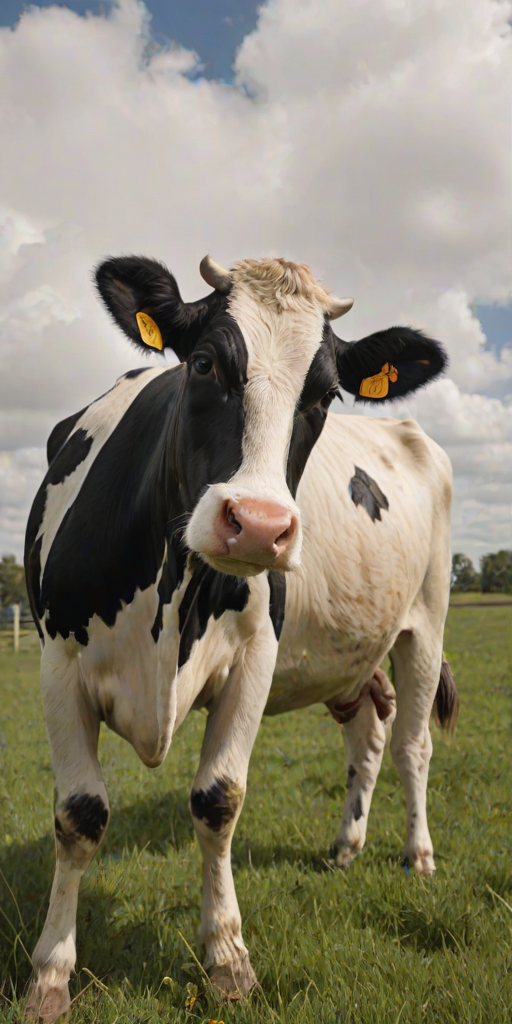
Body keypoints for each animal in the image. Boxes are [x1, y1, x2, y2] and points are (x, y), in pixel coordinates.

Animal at [23, 253, 448, 1021]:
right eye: (202, 364)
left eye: (326, 395)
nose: (257, 525)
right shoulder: (57, 663)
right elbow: (79, 814)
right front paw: (50, 973)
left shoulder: (256, 658)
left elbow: (218, 800)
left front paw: (227, 956)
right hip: (349, 659)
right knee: (367, 736)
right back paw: (346, 847)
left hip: (425, 623)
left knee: (413, 745)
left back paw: (418, 856)